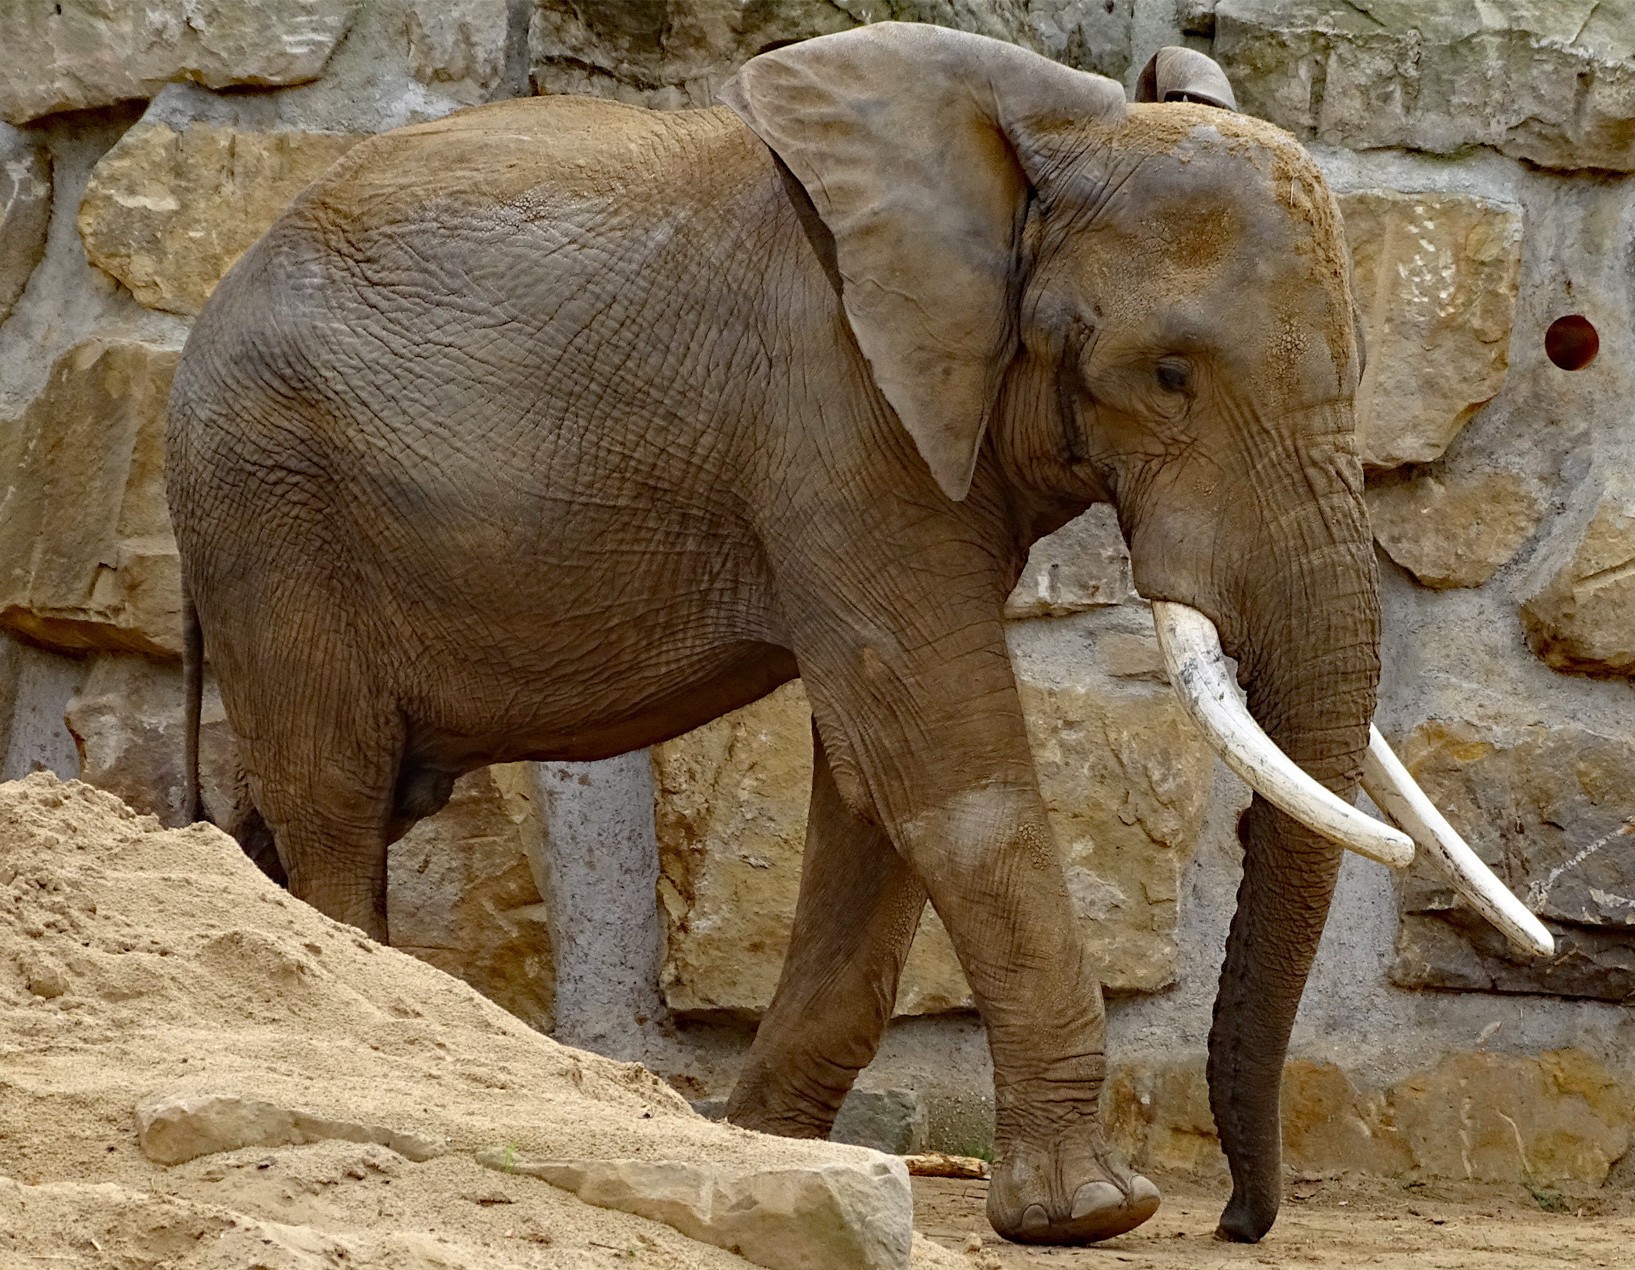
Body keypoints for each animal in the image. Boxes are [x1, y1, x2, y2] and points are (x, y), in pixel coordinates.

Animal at [165, 22, 1547, 1246]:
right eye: (1167, 375)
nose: (1238, 1221)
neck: (1045, 145)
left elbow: (878, 781)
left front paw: (771, 1152)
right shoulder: (841, 417)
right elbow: (945, 762)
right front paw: (1092, 1215)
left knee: (306, 804)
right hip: (270, 503)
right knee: (336, 797)